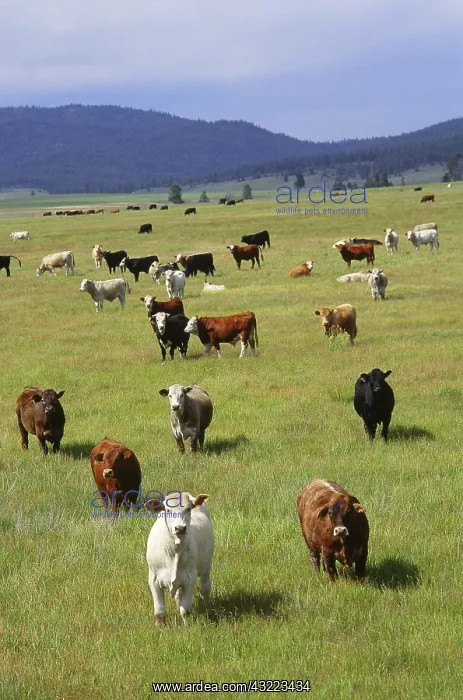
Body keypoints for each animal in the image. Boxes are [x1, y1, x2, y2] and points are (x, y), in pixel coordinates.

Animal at [146, 491, 214, 626]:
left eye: (188, 509)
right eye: (167, 510)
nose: (180, 528)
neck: (173, 552)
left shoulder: (190, 577)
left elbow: (186, 610)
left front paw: (187, 626)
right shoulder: (153, 579)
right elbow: (159, 612)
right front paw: (160, 627)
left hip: (206, 566)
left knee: (205, 588)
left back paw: (206, 608)